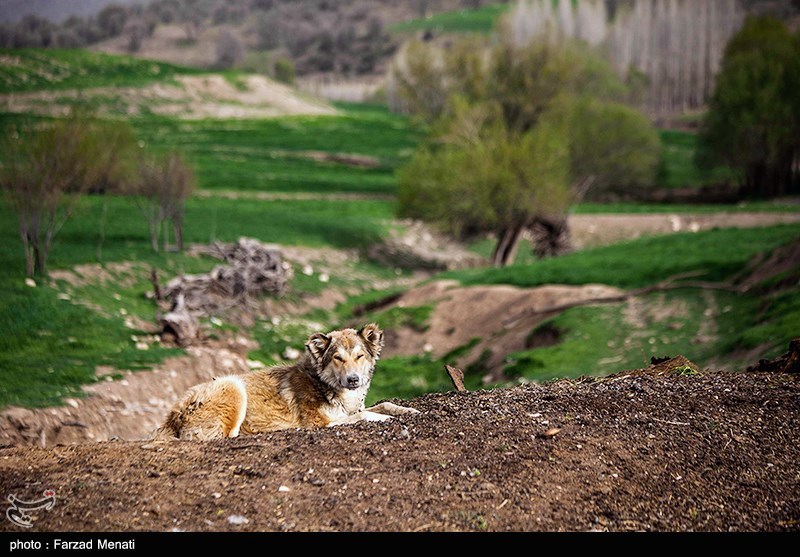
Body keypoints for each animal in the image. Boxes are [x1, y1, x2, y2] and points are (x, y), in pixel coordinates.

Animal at [154, 322, 422, 438]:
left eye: (359, 356)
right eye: (338, 358)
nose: (353, 380)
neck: (323, 384)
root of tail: (170, 418)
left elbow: (384, 404)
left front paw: (408, 410)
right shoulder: (318, 423)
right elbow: (363, 415)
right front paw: (383, 418)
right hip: (232, 385)